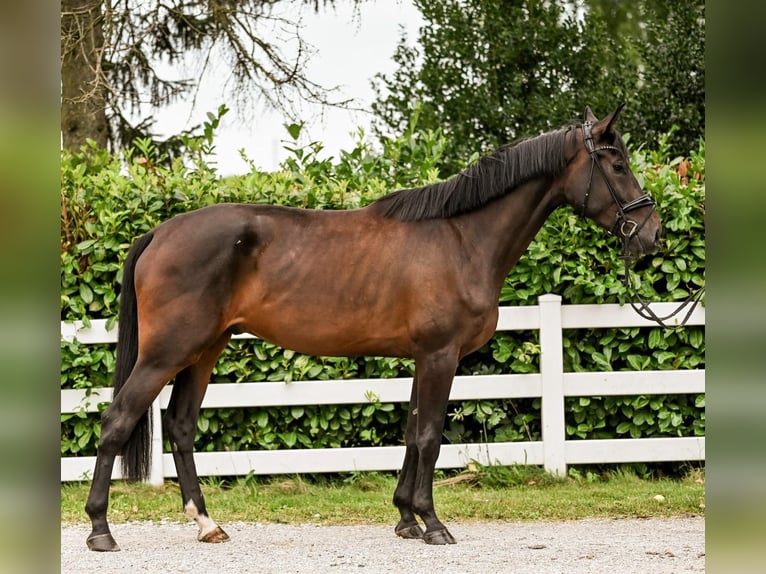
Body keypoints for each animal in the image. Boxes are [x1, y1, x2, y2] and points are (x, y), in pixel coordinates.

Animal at [84, 106, 660, 552]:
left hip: (204, 350)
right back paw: (101, 530)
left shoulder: (424, 358)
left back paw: (207, 524)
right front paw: (433, 523)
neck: (461, 238)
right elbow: (429, 436)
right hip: (166, 353)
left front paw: (406, 518)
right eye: (617, 163)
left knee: (180, 426)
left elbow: (411, 432)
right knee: (117, 420)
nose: (651, 234)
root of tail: (159, 232)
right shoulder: (440, 355)